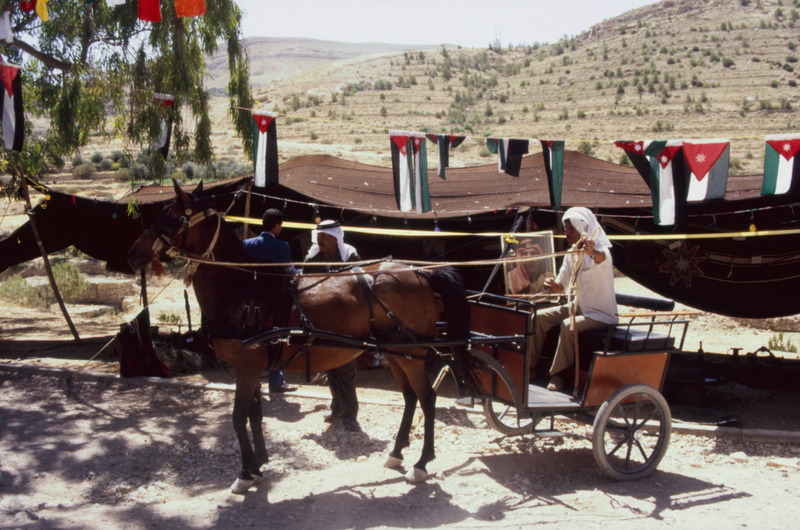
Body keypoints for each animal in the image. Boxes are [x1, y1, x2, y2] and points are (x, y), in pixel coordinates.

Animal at [127, 181, 472, 493]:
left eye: (172, 214)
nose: (133, 253)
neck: (244, 289)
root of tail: (420, 272)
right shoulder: (251, 367)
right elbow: (254, 414)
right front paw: (257, 467)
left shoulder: (247, 365)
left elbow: (238, 417)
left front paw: (244, 474)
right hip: (397, 352)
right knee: (411, 398)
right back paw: (397, 453)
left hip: (412, 353)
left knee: (427, 398)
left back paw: (421, 464)